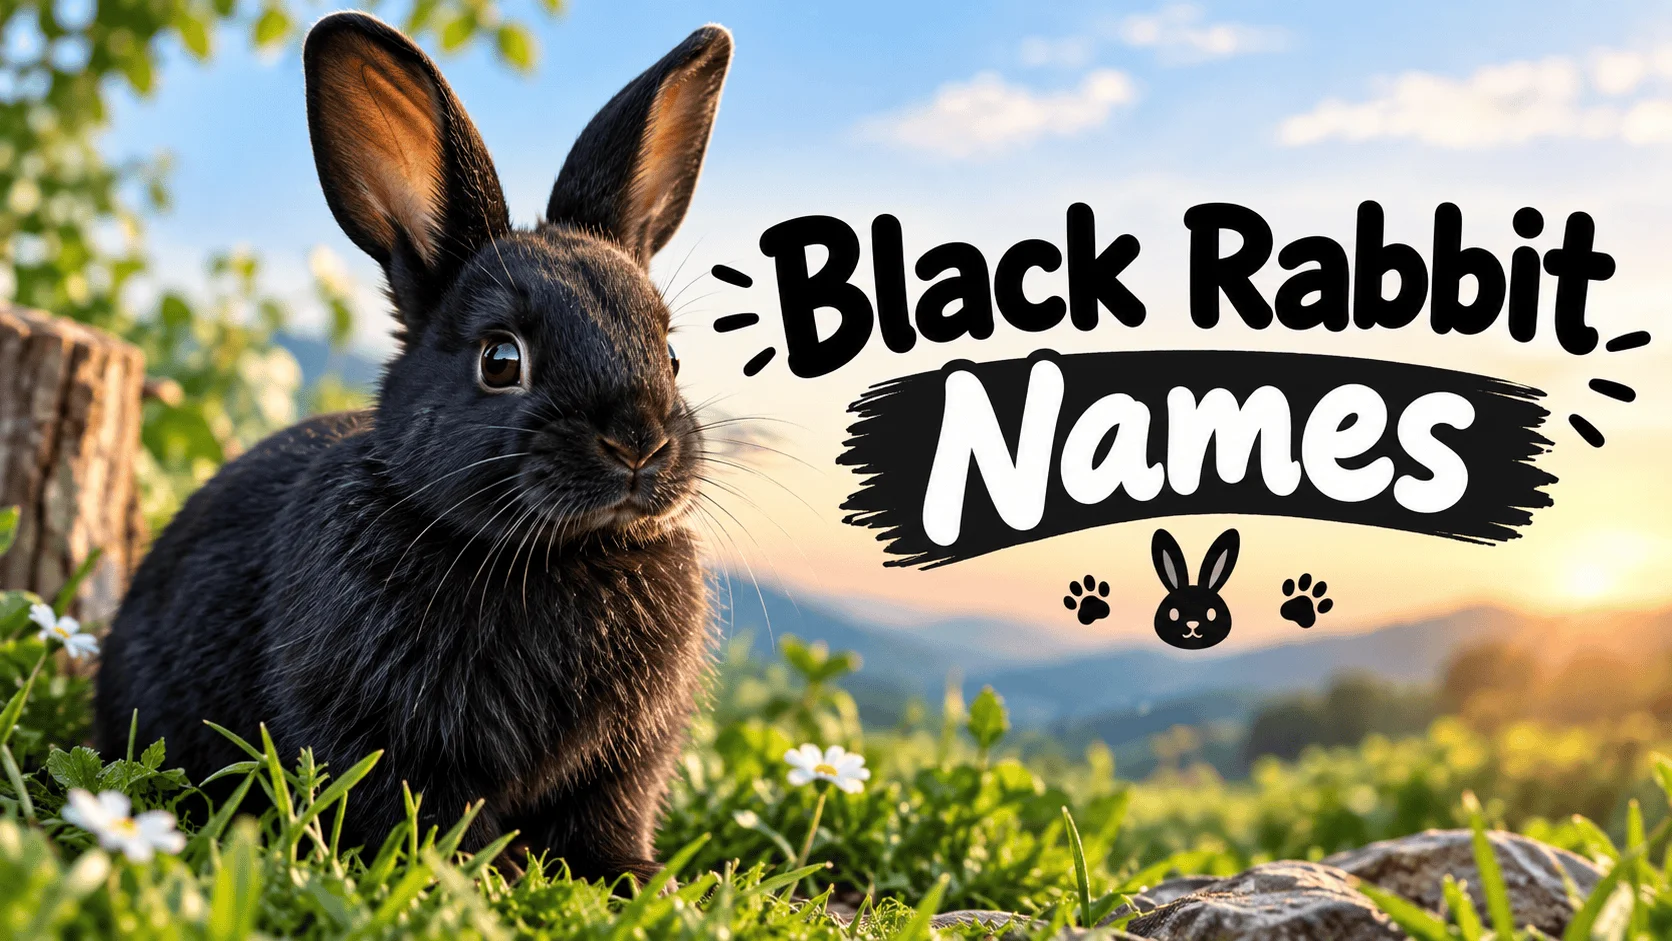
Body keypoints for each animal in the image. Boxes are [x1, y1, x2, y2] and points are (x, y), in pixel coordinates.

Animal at [94, 11, 732, 882]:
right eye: (501, 360)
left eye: (670, 354)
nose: (638, 442)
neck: (552, 554)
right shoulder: (386, 737)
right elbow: (419, 811)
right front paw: (489, 871)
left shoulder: (626, 760)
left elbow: (608, 819)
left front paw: (635, 879)